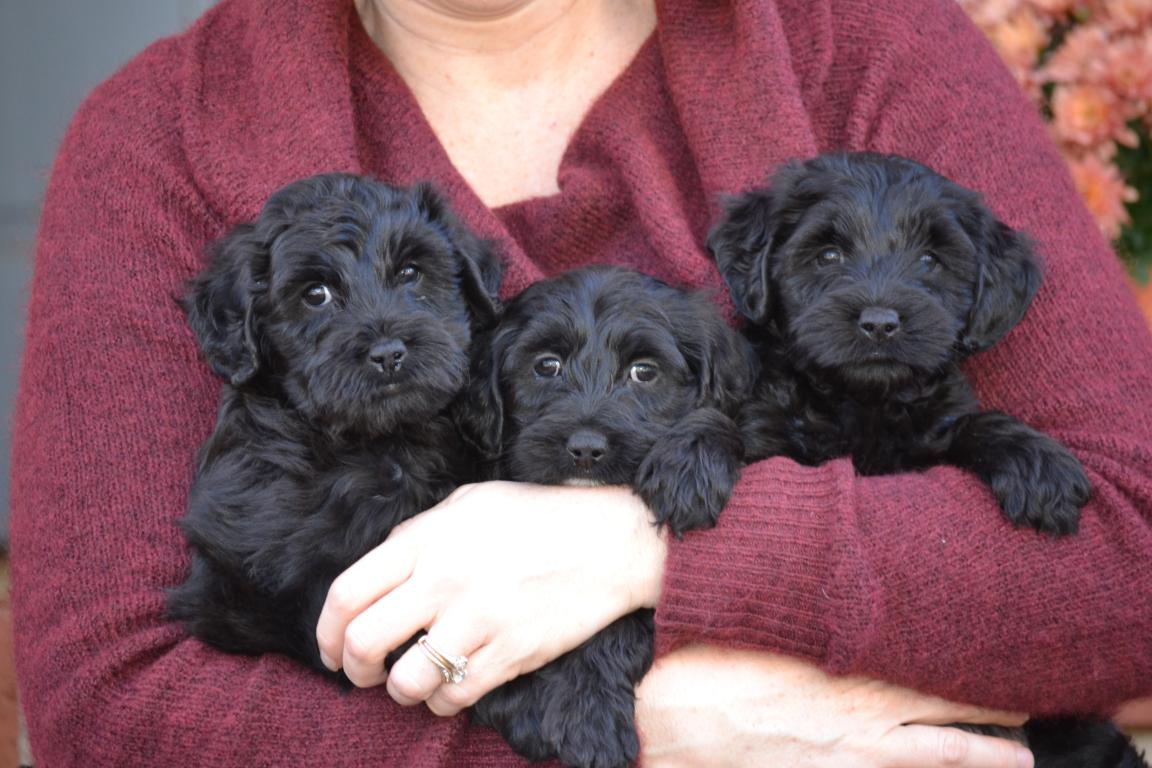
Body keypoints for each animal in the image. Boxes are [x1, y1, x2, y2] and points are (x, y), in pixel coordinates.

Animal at [709, 153, 1142, 768]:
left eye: (931, 261)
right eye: (828, 254)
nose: (879, 323)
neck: (863, 405)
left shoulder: (936, 419)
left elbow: (971, 424)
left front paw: (1037, 465)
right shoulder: (770, 423)